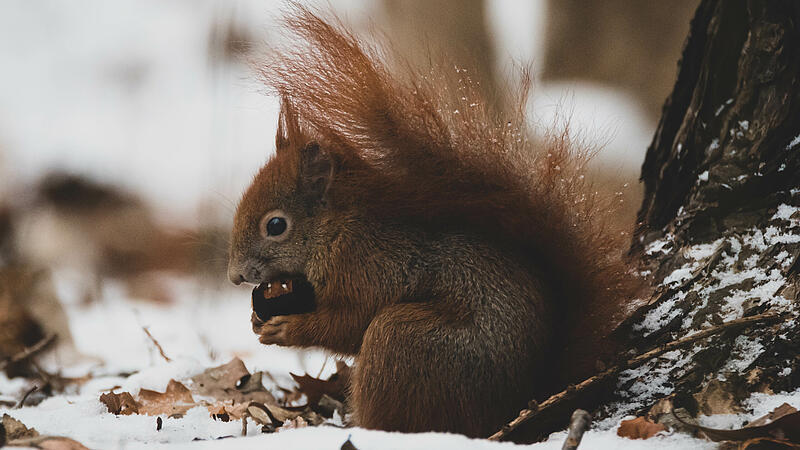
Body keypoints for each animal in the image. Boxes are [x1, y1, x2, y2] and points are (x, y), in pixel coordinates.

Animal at [227, 7, 636, 442]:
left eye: (275, 225)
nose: (235, 276)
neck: (334, 233)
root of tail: (515, 406)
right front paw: (257, 318)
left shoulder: (369, 269)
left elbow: (347, 324)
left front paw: (286, 329)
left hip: (403, 340)